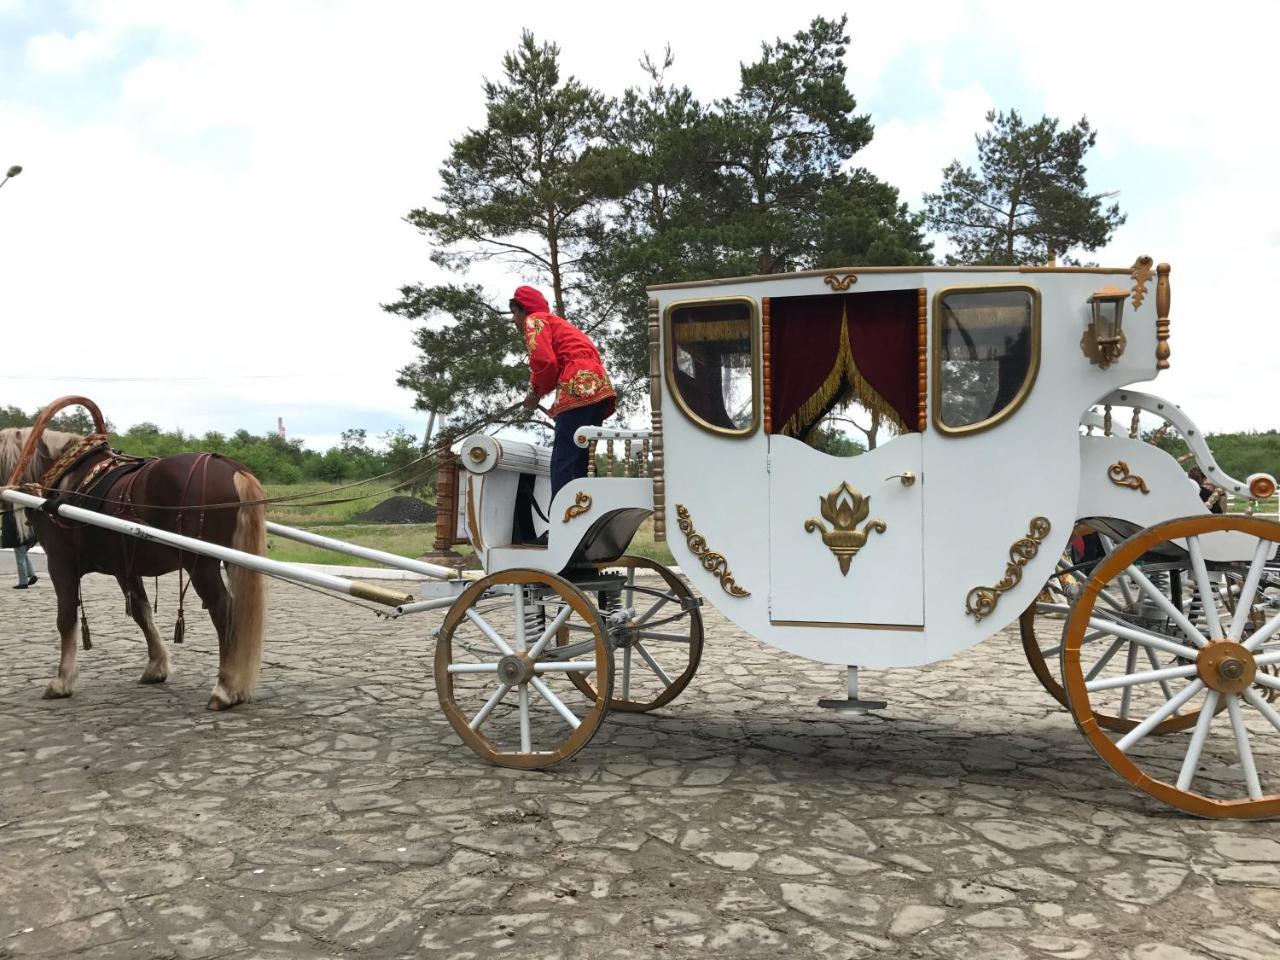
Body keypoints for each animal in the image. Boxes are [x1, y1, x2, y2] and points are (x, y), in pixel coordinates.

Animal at [1, 424, 267, 711]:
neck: (62, 481)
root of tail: (232, 468)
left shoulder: (61, 563)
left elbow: (65, 619)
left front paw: (62, 681)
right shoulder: (124, 568)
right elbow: (142, 612)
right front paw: (156, 666)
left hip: (201, 565)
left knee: (224, 612)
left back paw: (225, 688)